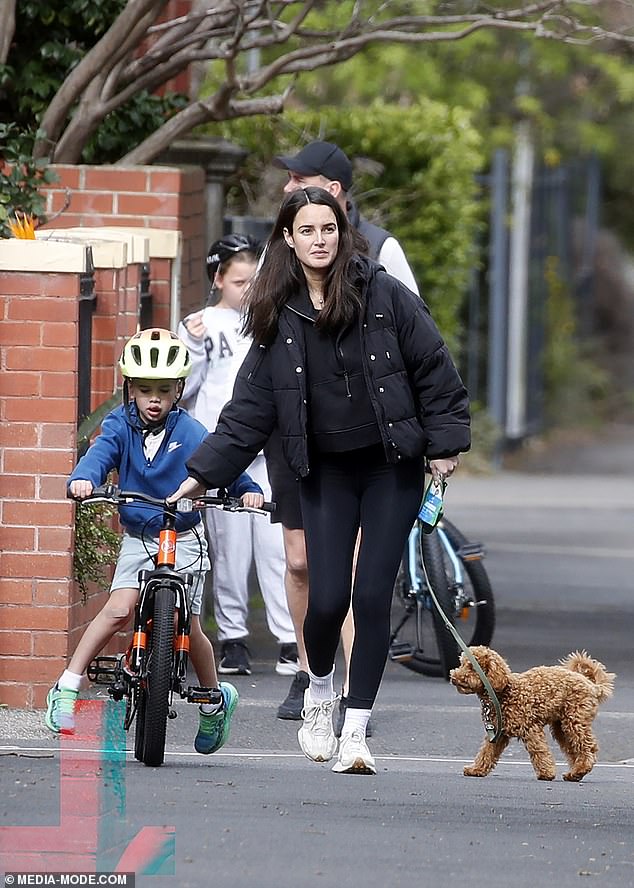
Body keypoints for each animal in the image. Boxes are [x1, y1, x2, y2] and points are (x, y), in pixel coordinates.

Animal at [450, 644, 612, 784]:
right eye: (462, 664)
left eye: (472, 667)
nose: (453, 677)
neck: (503, 692)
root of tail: (592, 685)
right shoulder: (497, 733)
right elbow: (486, 752)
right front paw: (476, 769)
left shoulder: (530, 728)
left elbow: (539, 750)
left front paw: (546, 773)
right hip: (561, 726)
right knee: (573, 750)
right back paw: (575, 773)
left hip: (574, 720)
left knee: (587, 748)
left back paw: (580, 769)